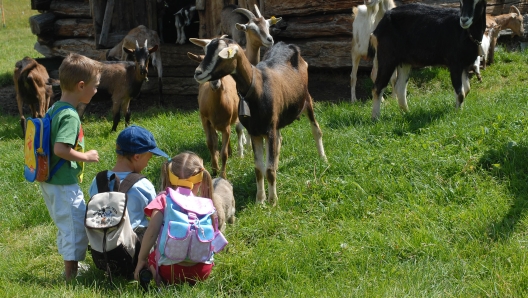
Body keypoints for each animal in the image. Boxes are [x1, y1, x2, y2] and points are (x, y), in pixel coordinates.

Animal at [192, 36, 328, 205]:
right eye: (206, 50)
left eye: (222, 54)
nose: (198, 73)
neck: (257, 87)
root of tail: (287, 45)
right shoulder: (255, 132)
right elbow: (259, 168)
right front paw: (260, 199)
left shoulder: (269, 131)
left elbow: (268, 170)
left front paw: (273, 200)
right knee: (280, 140)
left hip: (306, 101)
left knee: (316, 130)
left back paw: (323, 158)